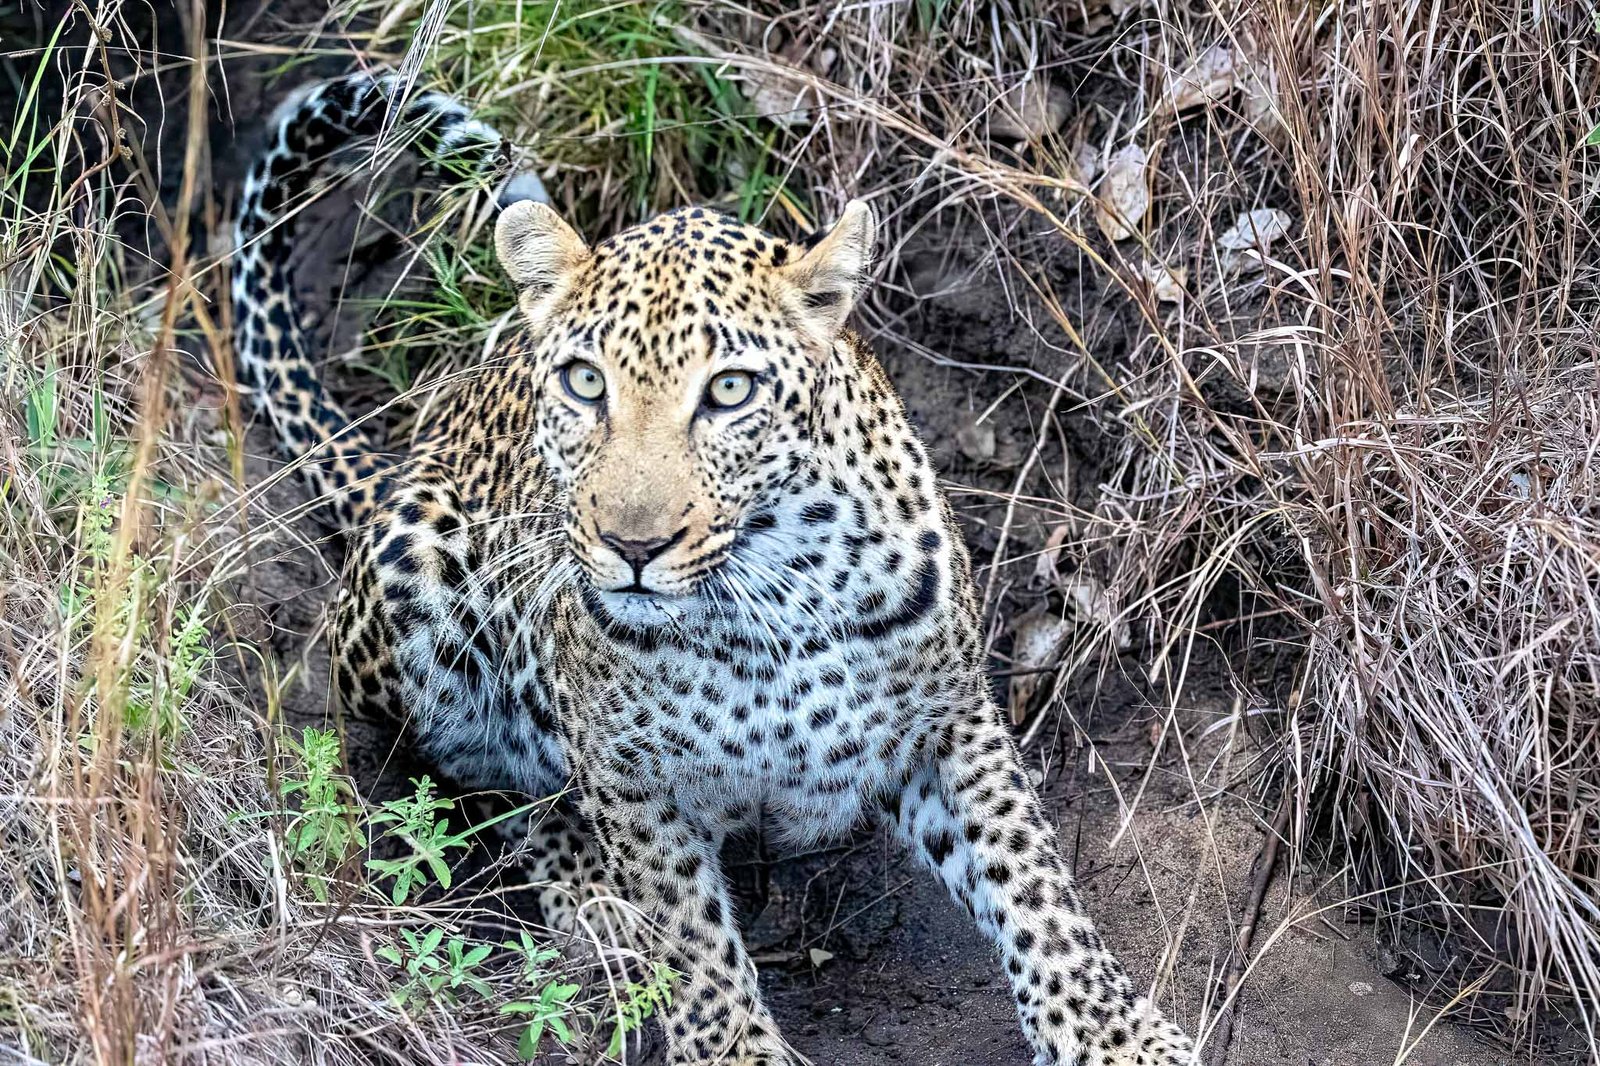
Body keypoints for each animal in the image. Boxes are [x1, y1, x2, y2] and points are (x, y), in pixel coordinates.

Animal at [232, 70, 1198, 1066]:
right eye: (584, 382)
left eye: (729, 390)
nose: (633, 546)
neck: (772, 598)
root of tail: (407, 454)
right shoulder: (633, 781)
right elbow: (690, 936)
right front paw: (731, 1041)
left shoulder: (951, 720)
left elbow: (1033, 878)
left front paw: (1116, 1035)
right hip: (418, 569)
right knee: (502, 786)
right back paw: (599, 908)